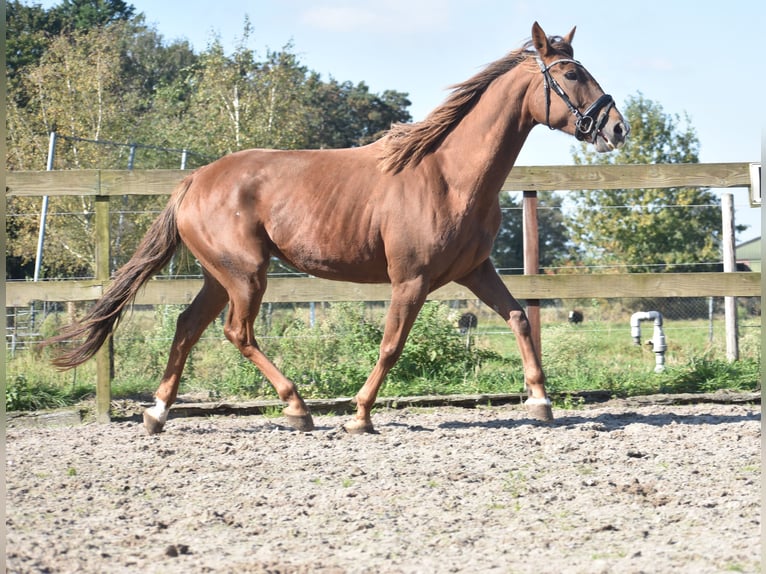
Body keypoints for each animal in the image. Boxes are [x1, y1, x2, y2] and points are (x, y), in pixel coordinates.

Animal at [45, 22, 628, 436]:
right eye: (571, 75)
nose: (617, 127)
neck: (448, 174)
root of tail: (194, 180)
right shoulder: (411, 280)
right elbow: (392, 345)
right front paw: (360, 415)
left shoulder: (475, 271)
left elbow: (519, 319)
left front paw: (541, 402)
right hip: (246, 276)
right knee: (237, 333)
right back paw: (297, 409)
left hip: (220, 276)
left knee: (188, 327)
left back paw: (157, 414)